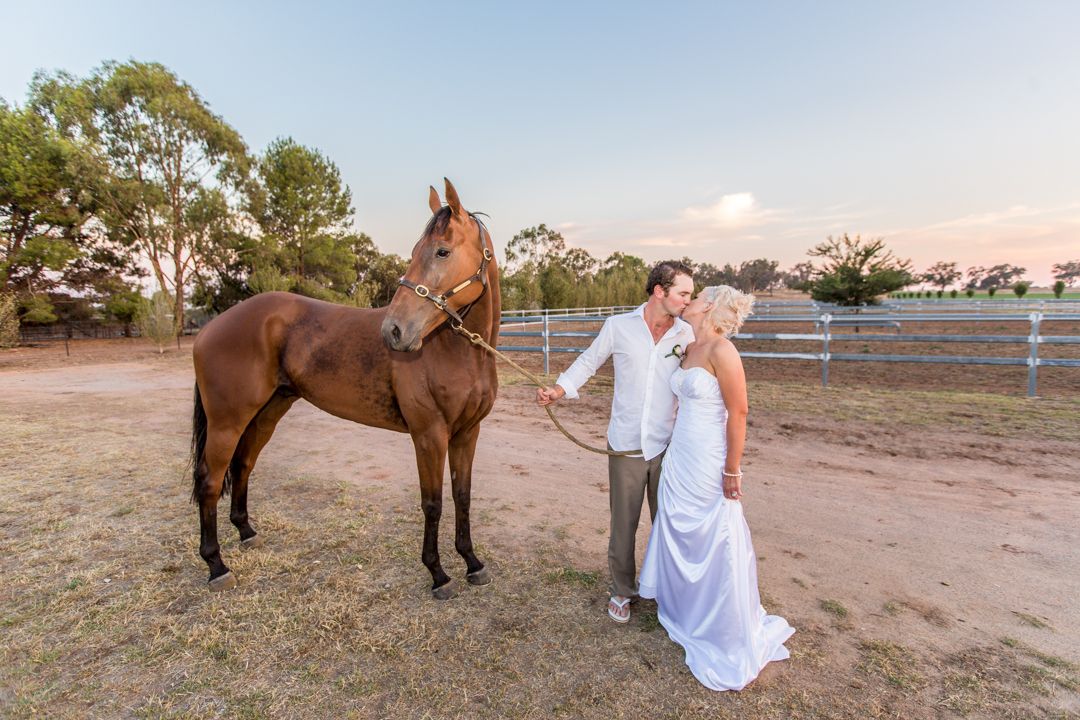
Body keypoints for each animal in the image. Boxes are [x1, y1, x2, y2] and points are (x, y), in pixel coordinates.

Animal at [190, 178, 500, 599]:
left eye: (442, 251)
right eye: (415, 252)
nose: (394, 331)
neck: (456, 352)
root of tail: (210, 327)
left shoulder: (468, 433)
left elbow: (462, 497)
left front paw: (472, 562)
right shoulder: (429, 435)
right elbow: (432, 503)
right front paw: (438, 574)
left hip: (267, 413)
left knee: (243, 465)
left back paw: (247, 532)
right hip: (227, 421)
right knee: (209, 481)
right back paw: (216, 566)